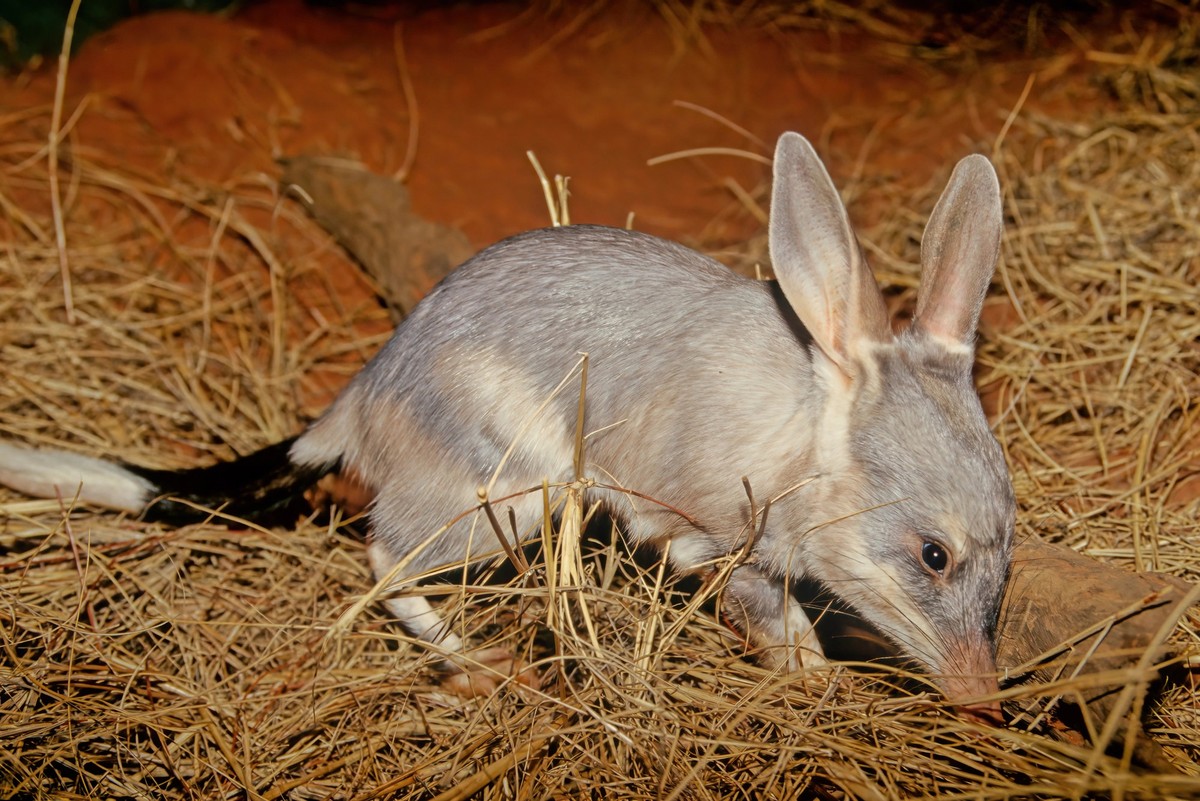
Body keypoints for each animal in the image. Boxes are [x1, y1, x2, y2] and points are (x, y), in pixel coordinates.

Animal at [0, 132, 1013, 717]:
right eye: (932, 555)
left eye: (1008, 547)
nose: (984, 698)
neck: (806, 421)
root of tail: (360, 399)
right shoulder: (708, 532)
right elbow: (772, 609)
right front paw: (816, 677)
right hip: (513, 492)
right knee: (381, 554)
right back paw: (480, 664)